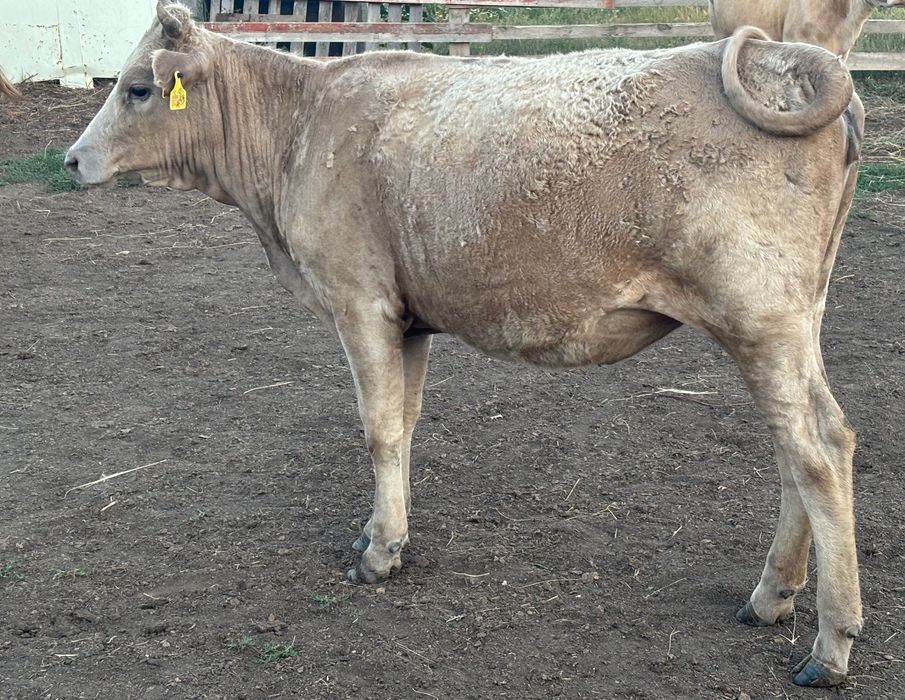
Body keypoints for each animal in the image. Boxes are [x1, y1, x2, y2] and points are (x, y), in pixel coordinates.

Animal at [65, 3, 865, 687]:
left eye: (139, 88)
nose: (73, 160)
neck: (299, 124)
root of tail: (788, 57)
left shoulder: (359, 302)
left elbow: (379, 428)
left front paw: (380, 553)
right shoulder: (408, 319)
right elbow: (405, 421)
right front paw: (379, 529)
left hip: (759, 317)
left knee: (816, 452)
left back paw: (829, 645)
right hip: (797, 318)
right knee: (807, 444)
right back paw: (771, 595)